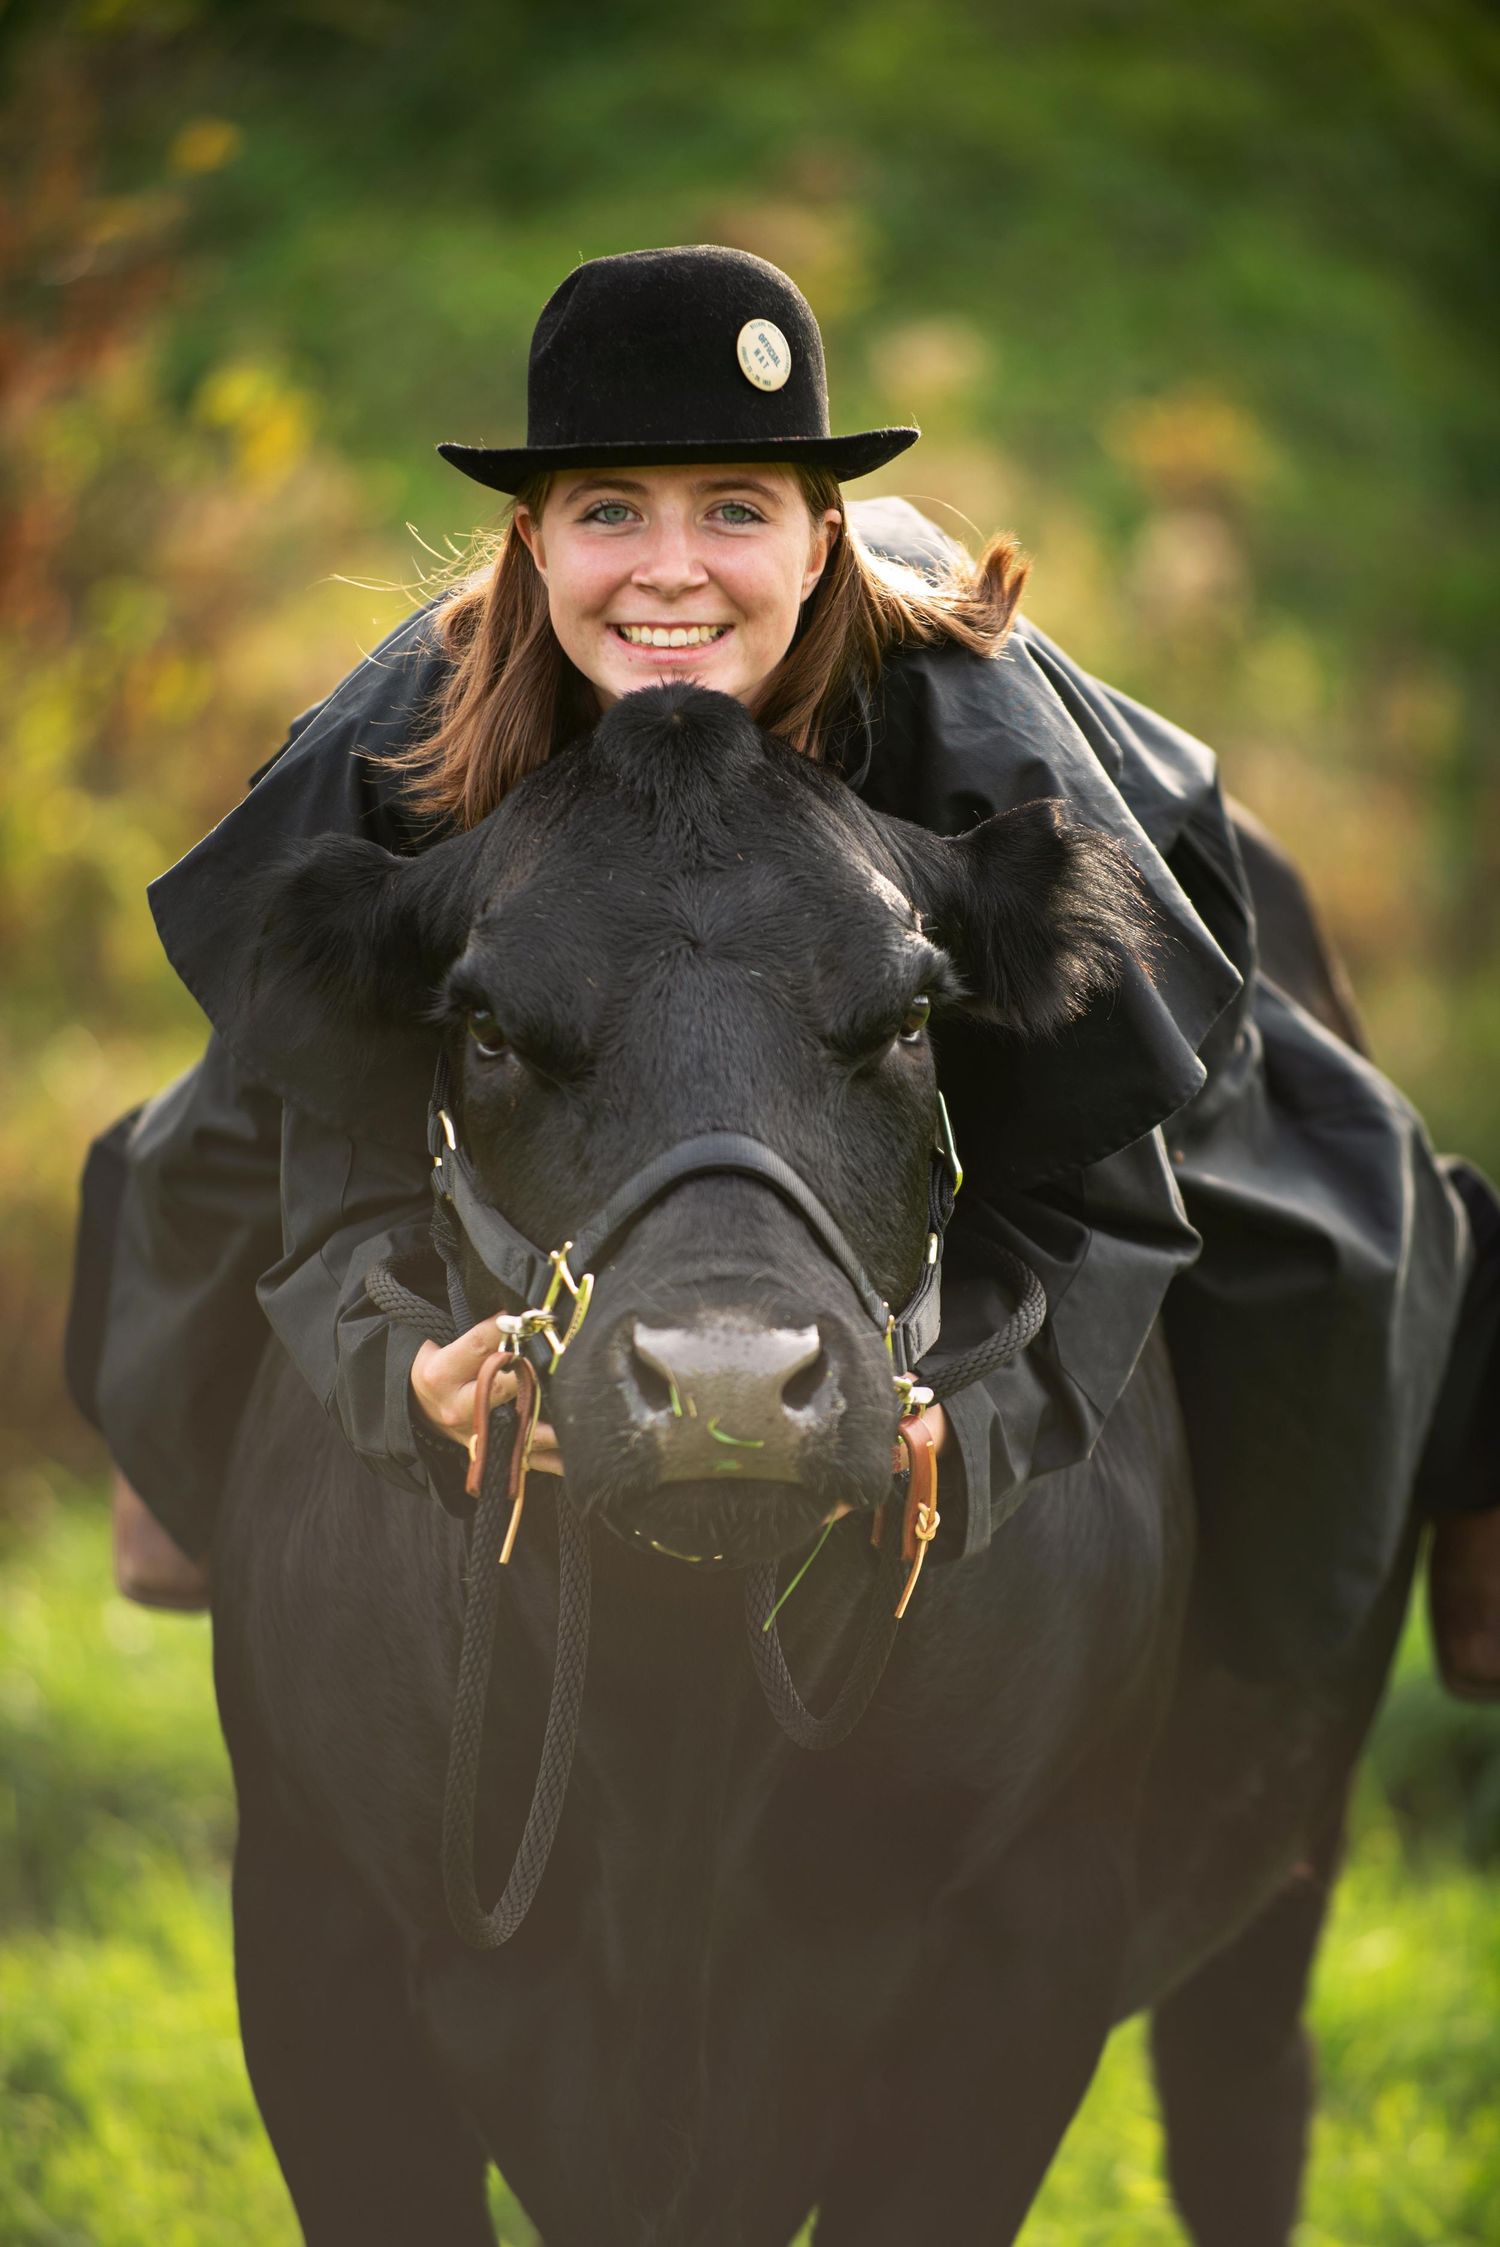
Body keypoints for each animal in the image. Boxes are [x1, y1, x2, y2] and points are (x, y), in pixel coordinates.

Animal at [211, 680, 1409, 2246]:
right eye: (484, 1029)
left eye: (907, 1020)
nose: (728, 1389)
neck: (674, 1730)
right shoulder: (311, 1926)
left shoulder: (1033, 1940)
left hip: (1287, 1859)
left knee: (1243, 2101)